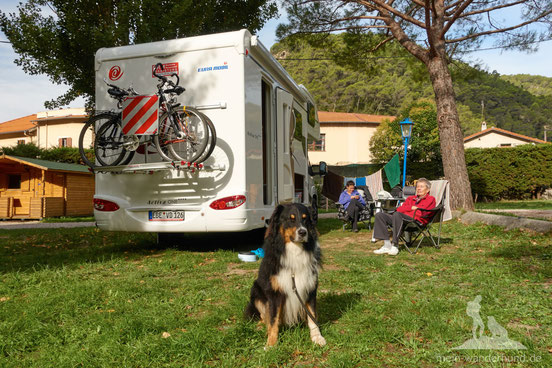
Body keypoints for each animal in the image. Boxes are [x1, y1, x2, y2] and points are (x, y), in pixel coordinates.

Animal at [245, 204, 326, 348]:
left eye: (305, 219)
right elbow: (273, 320)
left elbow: (312, 316)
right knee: (263, 316)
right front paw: (271, 344)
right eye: (291, 219)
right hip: (256, 291)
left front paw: (317, 337)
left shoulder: (310, 288)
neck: (295, 250)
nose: (303, 232)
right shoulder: (274, 293)